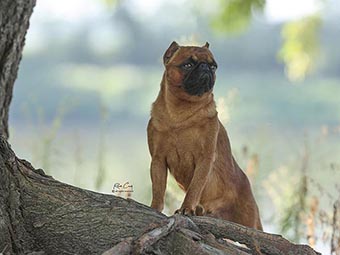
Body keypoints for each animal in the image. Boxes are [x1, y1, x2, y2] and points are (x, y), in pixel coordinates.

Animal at [147, 40, 262, 230]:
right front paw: (154, 207)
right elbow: (158, 189)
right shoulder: (158, 160)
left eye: (214, 66)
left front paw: (186, 208)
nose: (205, 67)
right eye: (187, 64)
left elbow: (194, 188)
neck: (180, 113)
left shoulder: (204, 159)